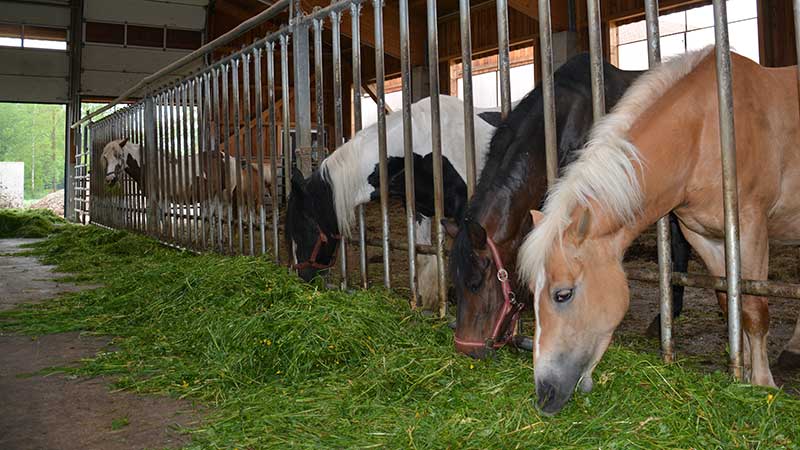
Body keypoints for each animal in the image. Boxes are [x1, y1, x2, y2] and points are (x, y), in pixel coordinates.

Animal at [520, 46, 800, 414]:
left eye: (562, 294)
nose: (544, 394)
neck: (705, 132)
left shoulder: (751, 228)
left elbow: (754, 309)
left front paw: (762, 384)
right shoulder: (706, 237)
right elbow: (729, 301)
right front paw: (739, 371)